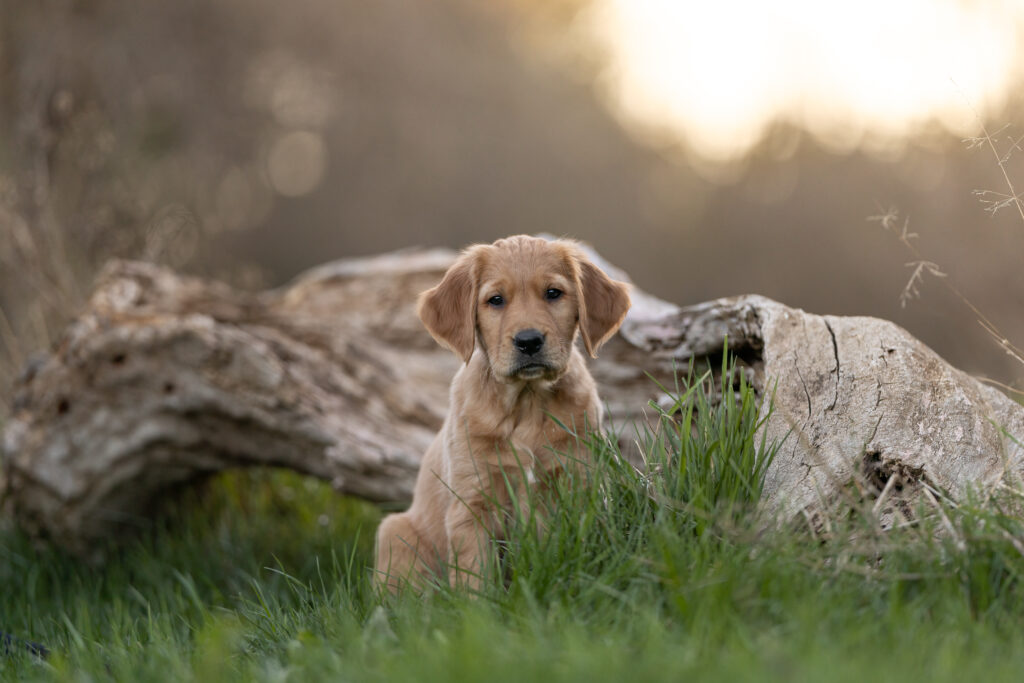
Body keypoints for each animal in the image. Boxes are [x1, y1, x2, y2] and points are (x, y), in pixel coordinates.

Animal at [376, 236, 630, 593]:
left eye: (553, 293)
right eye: (495, 300)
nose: (529, 341)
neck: (527, 401)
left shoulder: (579, 483)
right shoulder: (473, 502)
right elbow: (474, 576)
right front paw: (477, 606)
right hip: (395, 533)